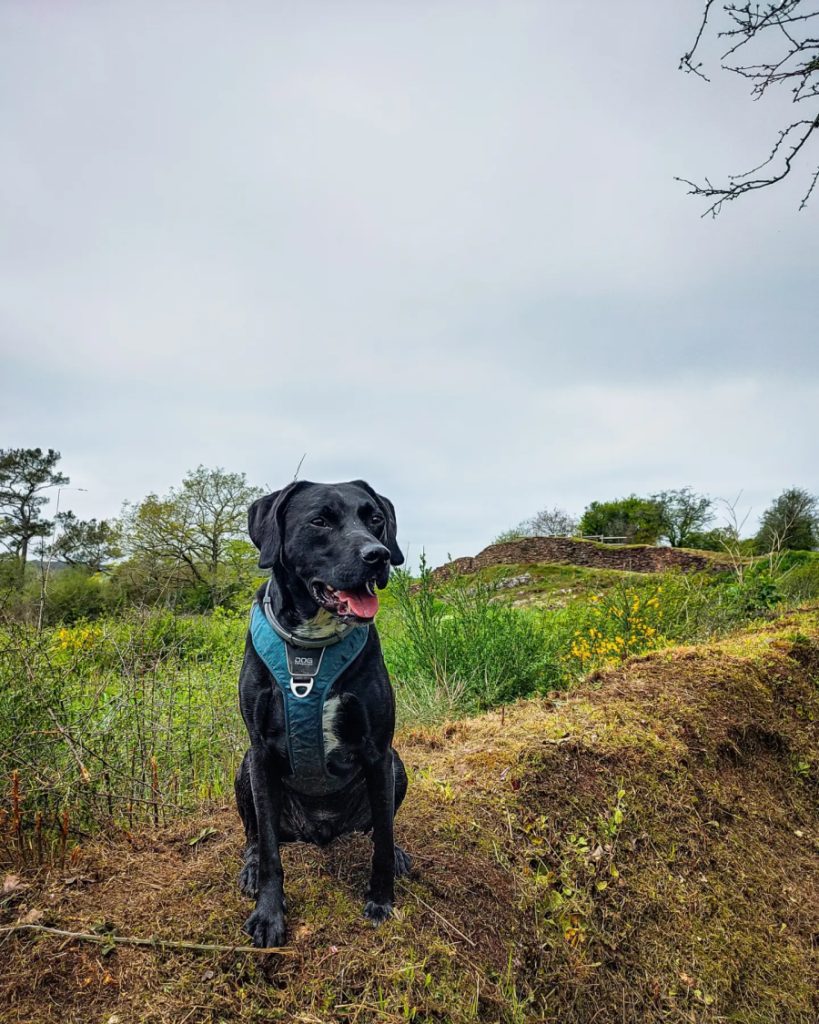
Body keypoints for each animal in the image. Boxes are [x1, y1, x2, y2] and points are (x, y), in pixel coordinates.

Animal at [232, 477, 409, 942]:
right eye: (320, 521)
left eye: (375, 519)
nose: (378, 556)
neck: (312, 648)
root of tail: (319, 832)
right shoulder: (260, 752)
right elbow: (270, 851)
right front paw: (269, 915)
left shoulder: (378, 752)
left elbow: (382, 842)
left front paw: (381, 898)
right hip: (244, 769)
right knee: (255, 834)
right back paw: (250, 866)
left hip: (397, 766)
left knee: (378, 827)